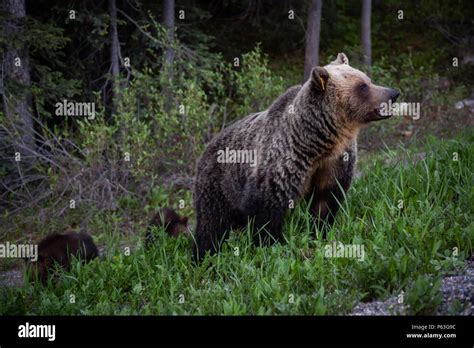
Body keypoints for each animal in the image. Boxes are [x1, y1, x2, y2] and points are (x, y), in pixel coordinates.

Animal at [192, 53, 396, 260]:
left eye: (368, 79)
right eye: (363, 86)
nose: (393, 93)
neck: (319, 143)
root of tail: (209, 144)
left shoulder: (334, 162)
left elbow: (325, 201)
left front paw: (319, 233)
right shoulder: (283, 163)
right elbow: (266, 211)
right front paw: (269, 245)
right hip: (219, 183)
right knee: (212, 224)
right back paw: (204, 255)